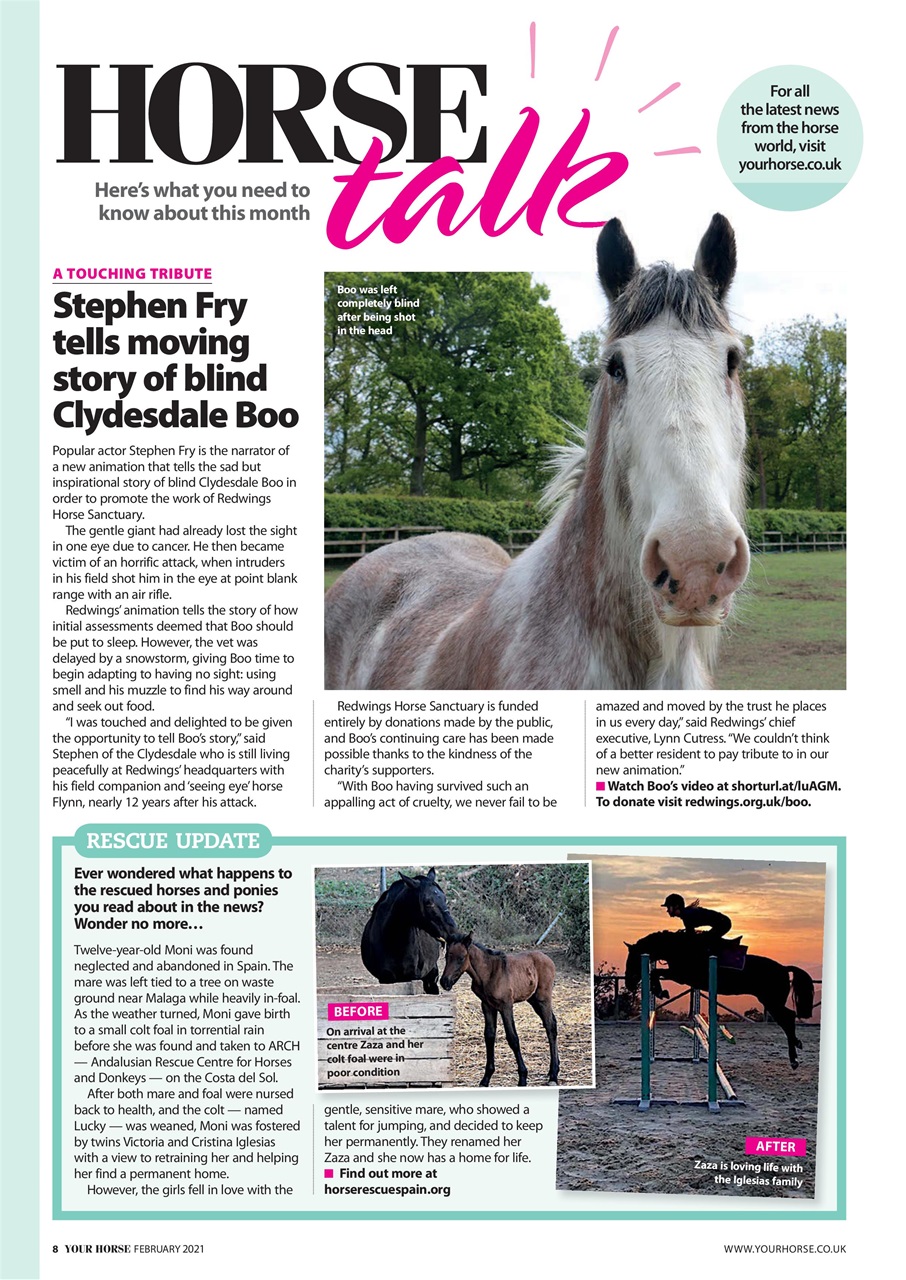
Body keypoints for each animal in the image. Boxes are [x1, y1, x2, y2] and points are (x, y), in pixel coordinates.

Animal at [440, 933, 559, 1087]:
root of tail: (548, 959)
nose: (444, 982)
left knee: (550, 1026)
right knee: (552, 1023)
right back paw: (553, 1070)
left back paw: (554, 1076)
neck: (489, 973)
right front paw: (486, 1078)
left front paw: (522, 1078)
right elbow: (489, 1036)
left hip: (543, 999)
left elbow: (513, 1038)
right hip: (533, 1000)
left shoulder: (506, 1006)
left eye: (461, 958)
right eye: (446, 956)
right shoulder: (487, 1006)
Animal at [624, 930, 815, 1069]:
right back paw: (796, 1049)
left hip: (771, 1001)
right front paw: (660, 991)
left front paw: (660, 991)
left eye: (632, 960)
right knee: (787, 1019)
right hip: (770, 1001)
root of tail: (784, 968)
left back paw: (794, 1058)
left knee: (788, 1018)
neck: (681, 947)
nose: (629, 984)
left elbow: (656, 972)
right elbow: (656, 973)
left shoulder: (682, 975)